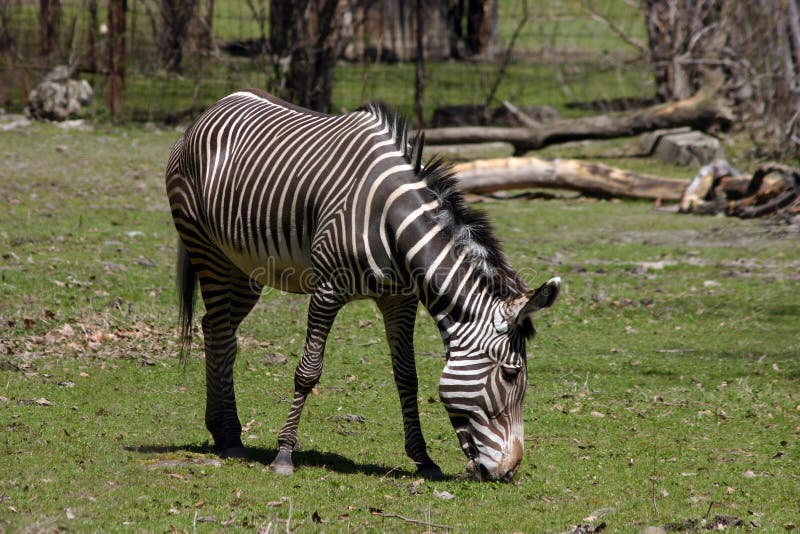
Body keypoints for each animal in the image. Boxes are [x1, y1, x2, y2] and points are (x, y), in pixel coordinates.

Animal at [165, 88, 560, 482]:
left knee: (218, 330)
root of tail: (218, 104)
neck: (392, 224)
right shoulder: (326, 290)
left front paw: (424, 459)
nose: (509, 472)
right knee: (220, 331)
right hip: (207, 249)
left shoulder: (400, 300)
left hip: (245, 268)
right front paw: (284, 454)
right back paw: (231, 437)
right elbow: (308, 372)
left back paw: (223, 431)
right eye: (511, 374)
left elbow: (407, 376)